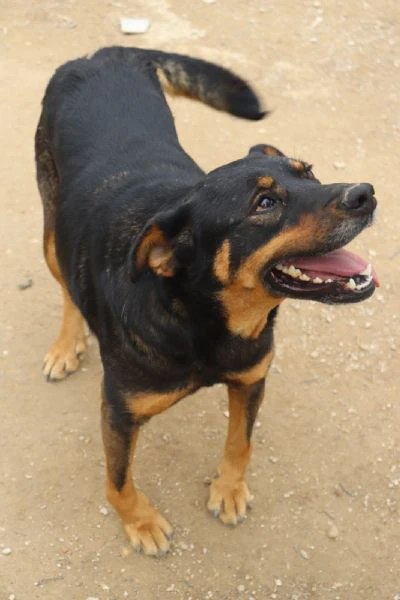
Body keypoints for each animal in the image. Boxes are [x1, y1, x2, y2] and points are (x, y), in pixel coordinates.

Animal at [34, 47, 378, 556]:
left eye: (310, 172)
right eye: (264, 204)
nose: (366, 194)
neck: (203, 319)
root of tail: (102, 53)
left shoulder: (251, 379)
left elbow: (240, 443)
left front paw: (229, 489)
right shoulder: (119, 410)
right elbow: (117, 482)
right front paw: (141, 522)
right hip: (52, 235)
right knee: (66, 289)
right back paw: (65, 344)